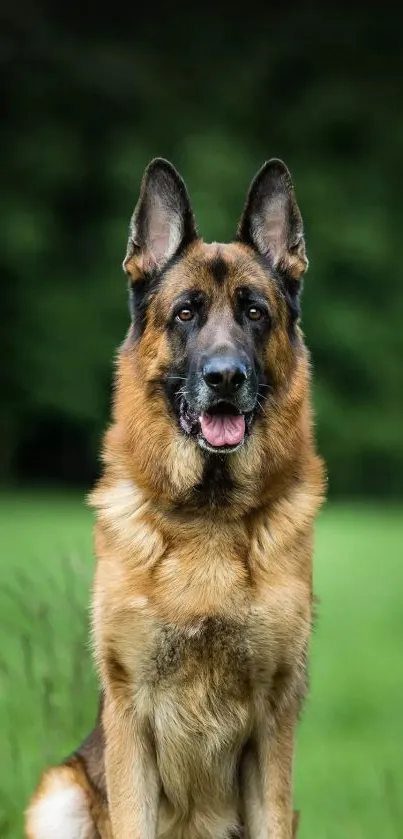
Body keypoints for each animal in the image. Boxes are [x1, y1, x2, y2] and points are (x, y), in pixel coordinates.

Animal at [26, 158, 326, 839]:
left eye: (254, 312)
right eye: (186, 313)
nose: (225, 378)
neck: (207, 517)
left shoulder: (273, 733)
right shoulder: (131, 720)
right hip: (59, 793)